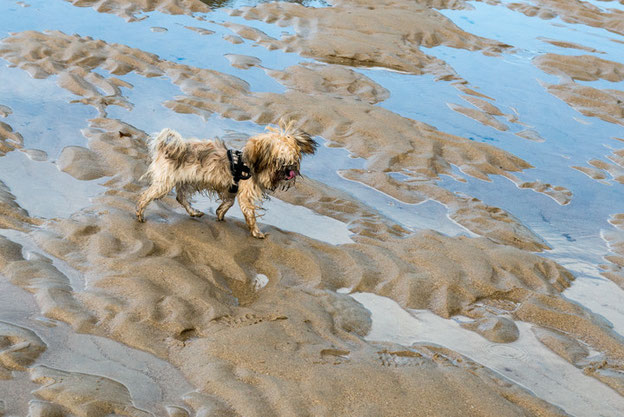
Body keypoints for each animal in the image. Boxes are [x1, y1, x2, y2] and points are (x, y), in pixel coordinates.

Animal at [138, 119, 320, 237]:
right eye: (279, 162)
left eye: (294, 160)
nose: (290, 171)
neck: (250, 165)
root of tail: (165, 147)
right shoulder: (245, 194)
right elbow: (250, 214)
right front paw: (256, 232)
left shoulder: (232, 189)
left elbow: (229, 202)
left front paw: (220, 212)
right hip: (164, 183)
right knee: (145, 196)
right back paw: (140, 214)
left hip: (185, 181)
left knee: (180, 197)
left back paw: (194, 212)